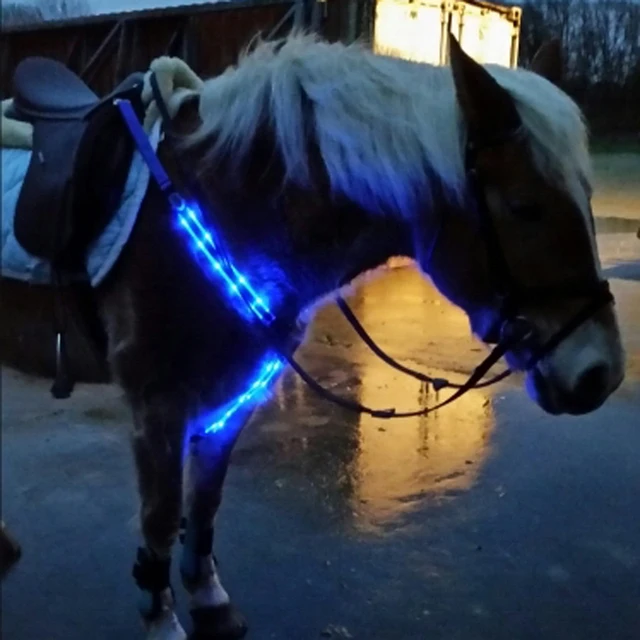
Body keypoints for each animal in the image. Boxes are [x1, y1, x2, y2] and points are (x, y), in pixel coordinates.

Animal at [0, 33, 625, 639]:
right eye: (525, 207)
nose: (601, 373)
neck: (221, 206)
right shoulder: (159, 406)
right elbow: (160, 517)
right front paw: (161, 621)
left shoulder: (232, 396)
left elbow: (204, 501)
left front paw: (209, 599)